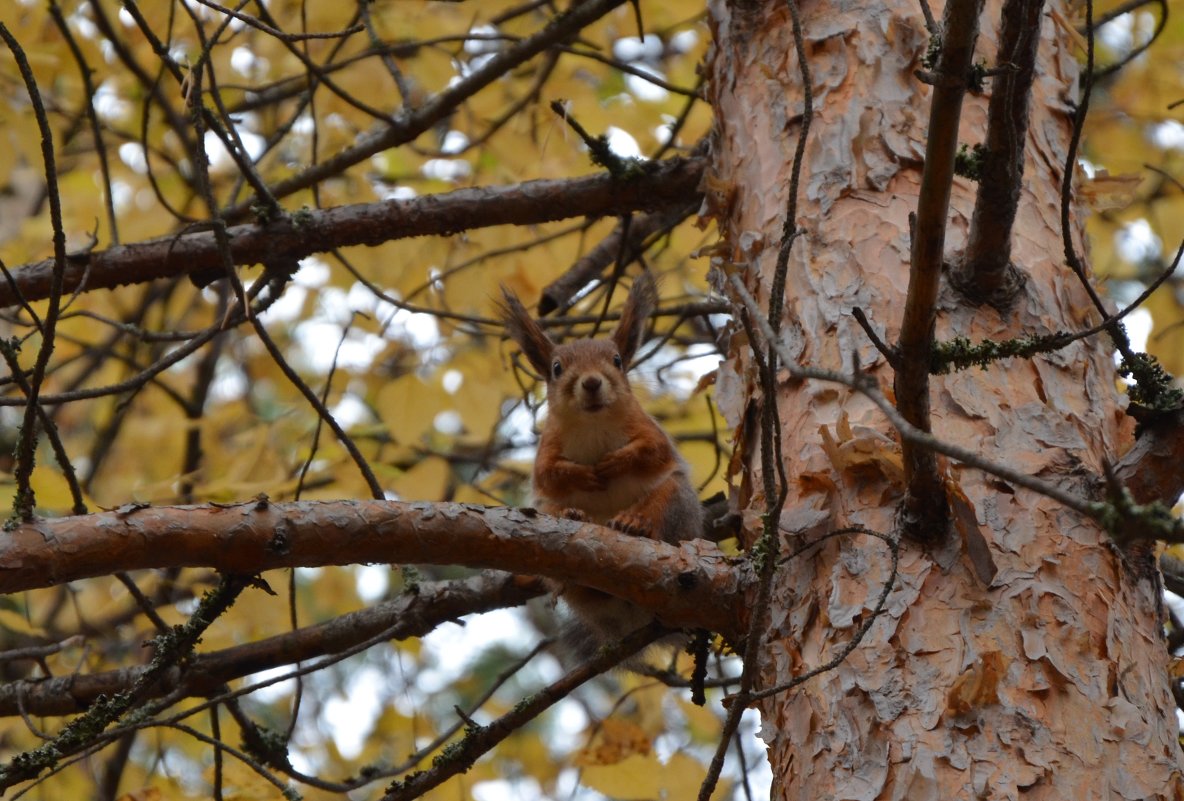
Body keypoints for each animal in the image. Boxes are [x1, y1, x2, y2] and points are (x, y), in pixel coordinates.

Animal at [499, 272, 700, 657]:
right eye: (556, 368)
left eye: (617, 360)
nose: (592, 382)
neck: (593, 423)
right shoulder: (547, 447)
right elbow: (549, 473)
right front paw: (584, 474)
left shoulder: (649, 431)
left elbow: (652, 452)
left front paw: (615, 463)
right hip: (547, 518)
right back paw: (574, 517)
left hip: (676, 502)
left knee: (661, 504)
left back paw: (633, 522)